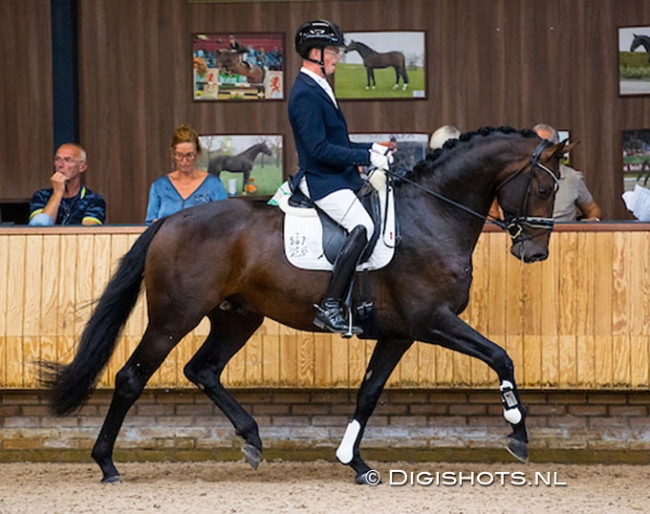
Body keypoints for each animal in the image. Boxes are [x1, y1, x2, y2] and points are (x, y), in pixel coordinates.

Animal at [40, 126, 568, 482]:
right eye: (544, 188)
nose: (536, 253)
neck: (432, 215)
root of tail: (171, 221)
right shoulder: (432, 321)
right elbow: (501, 356)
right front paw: (517, 434)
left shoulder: (400, 334)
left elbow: (368, 394)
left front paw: (355, 462)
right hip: (174, 317)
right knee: (132, 377)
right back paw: (106, 463)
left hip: (238, 317)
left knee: (203, 369)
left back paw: (252, 439)